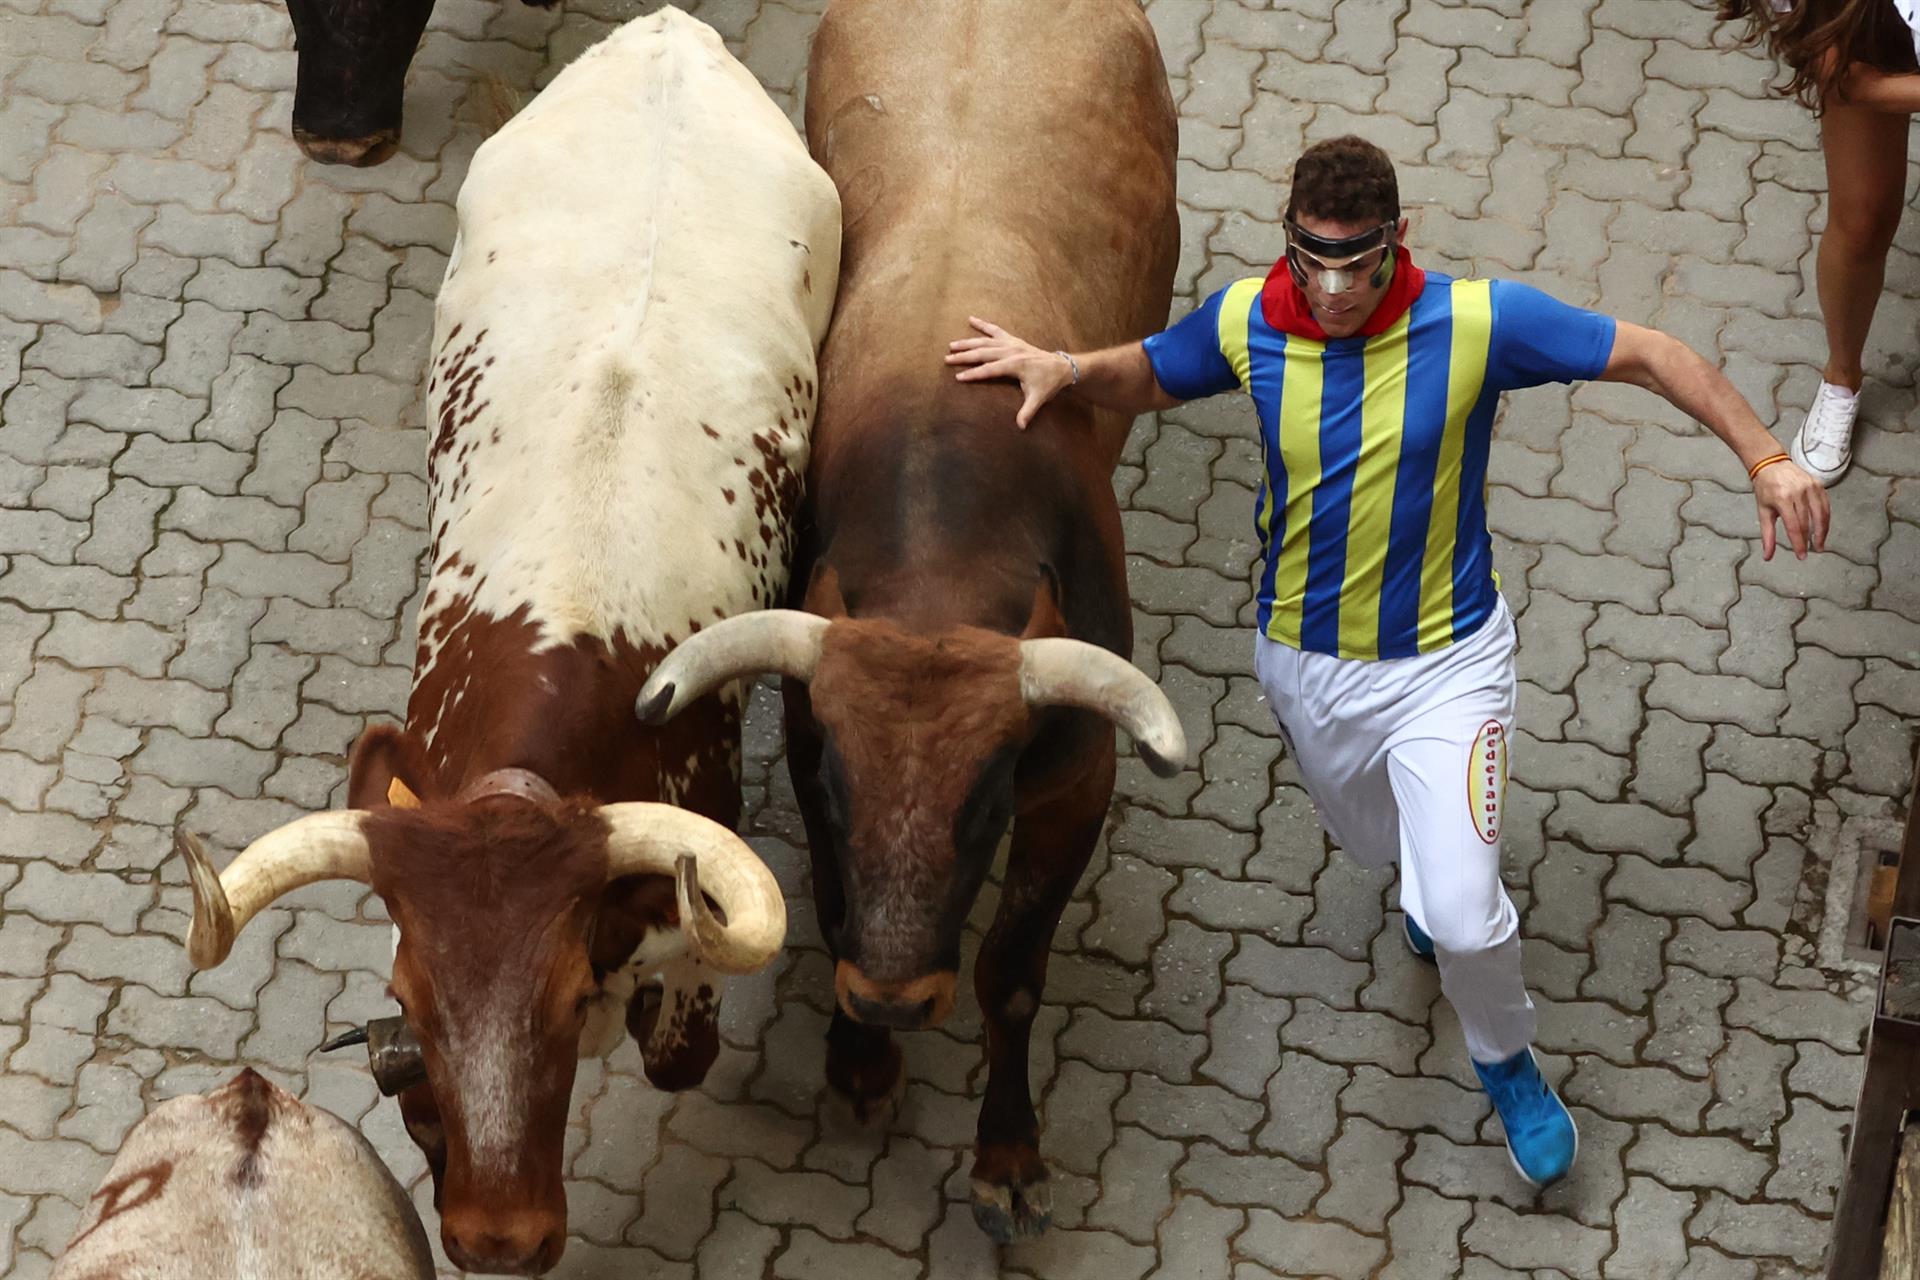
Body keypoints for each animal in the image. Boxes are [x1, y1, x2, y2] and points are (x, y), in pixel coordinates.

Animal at [645, 0, 1182, 1243]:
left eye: (984, 804)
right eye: (844, 791)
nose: (891, 996)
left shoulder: (1075, 784)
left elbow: (1012, 973)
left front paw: (1007, 1153)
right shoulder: (806, 742)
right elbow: (836, 901)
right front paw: (858, 1063)